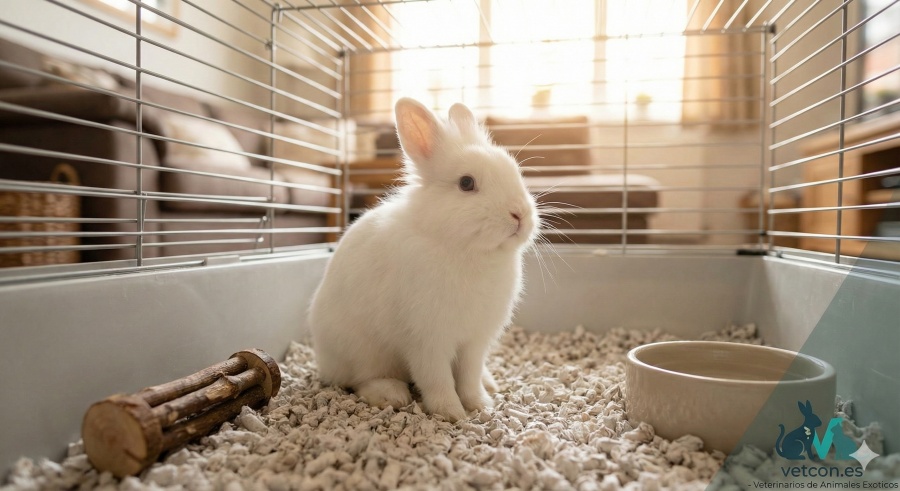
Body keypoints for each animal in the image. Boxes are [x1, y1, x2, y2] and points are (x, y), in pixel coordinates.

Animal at [308, 97, 538, 422]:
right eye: (466, 183)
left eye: (515, 171)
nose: (520, 214)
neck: (466, 250)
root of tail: (325, 361)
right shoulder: (427, 340)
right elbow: (437, 379)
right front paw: (452, 414)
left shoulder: (475, 342)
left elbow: (469, 377)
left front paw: (481, 405)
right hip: (362, 352)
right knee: (361, 380)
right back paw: (392, 394)